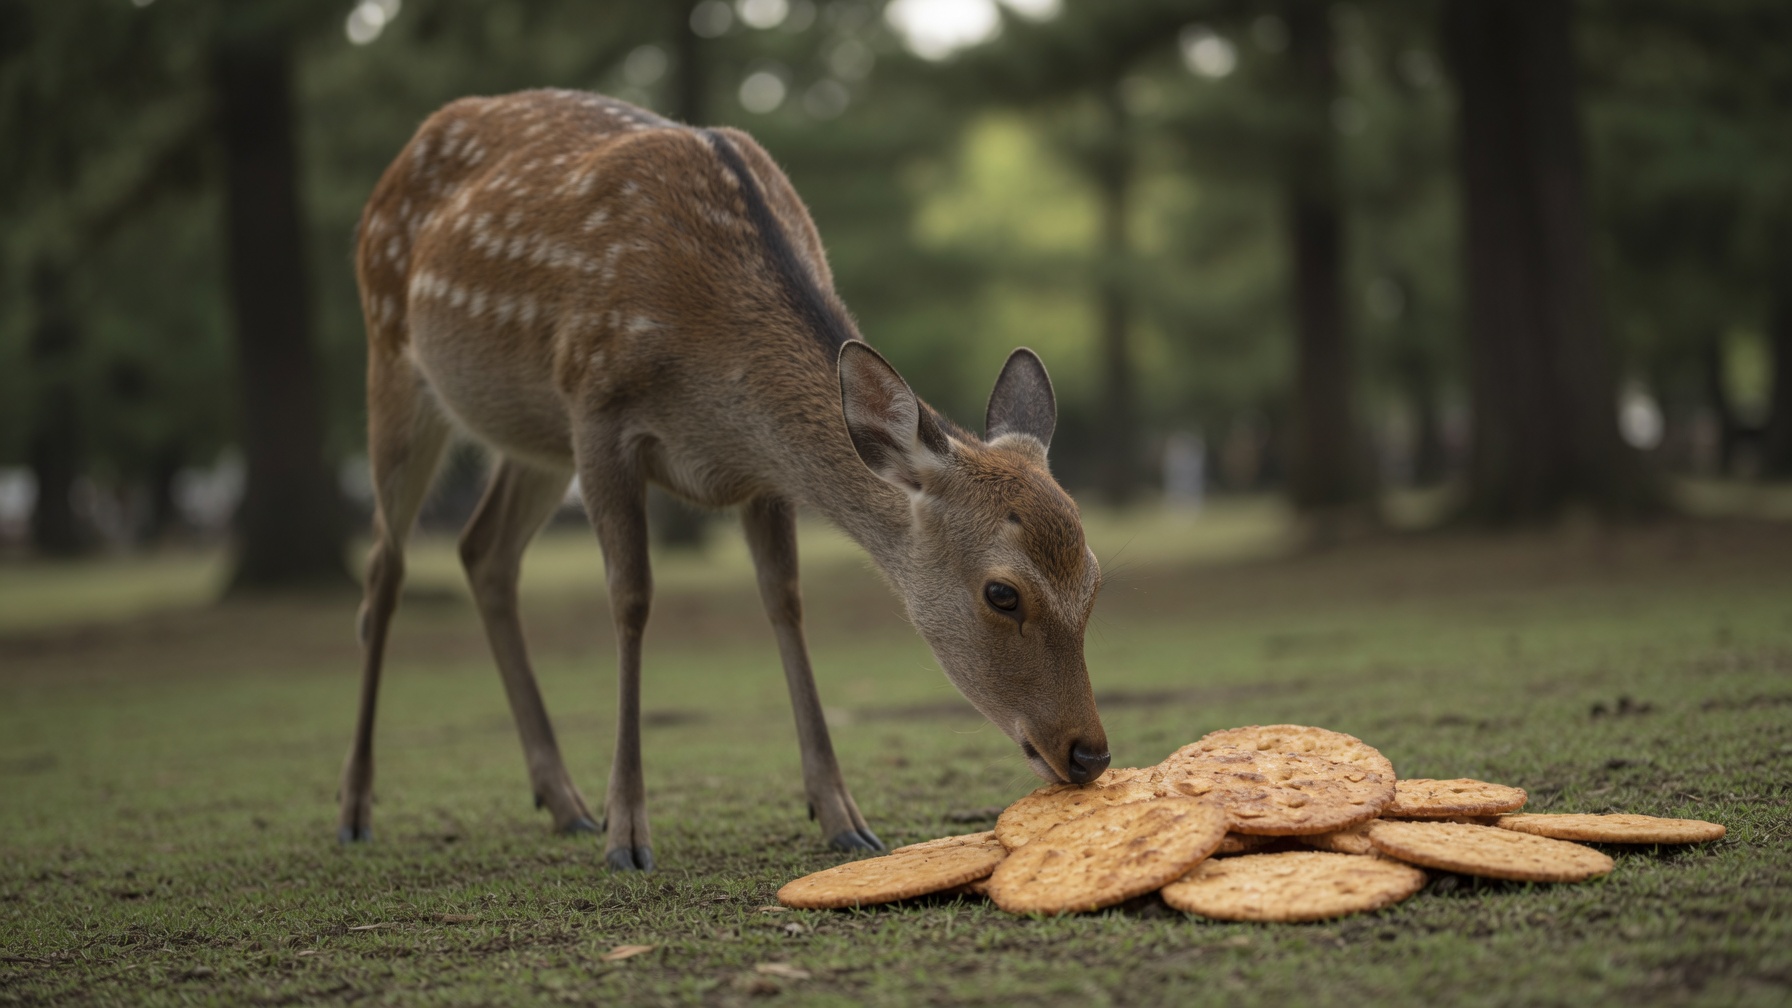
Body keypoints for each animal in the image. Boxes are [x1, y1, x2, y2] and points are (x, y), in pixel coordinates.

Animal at [340, 89, 1110, 871]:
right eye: (1002, 593)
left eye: (1094, 578)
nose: (1089, 754)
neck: (718, 391)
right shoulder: (596, 411)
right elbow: (631, 599)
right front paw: (629, 833)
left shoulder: (762, 473)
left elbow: (785, 602)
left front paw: (842, 816)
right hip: (393, 355)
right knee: (385, 569)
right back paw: (356, 808)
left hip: (531, 437)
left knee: (483, 551)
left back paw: (563, 801)